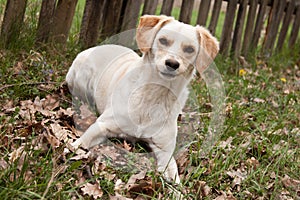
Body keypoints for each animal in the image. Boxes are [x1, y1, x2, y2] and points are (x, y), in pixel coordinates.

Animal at [66, 14, 218, 184]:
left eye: (190, 49)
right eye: (163, 40)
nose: (172, 64)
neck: (154, 94)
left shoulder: (164, 150)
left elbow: (173, 174)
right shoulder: (102, 126)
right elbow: (81, 143)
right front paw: (70, 150)